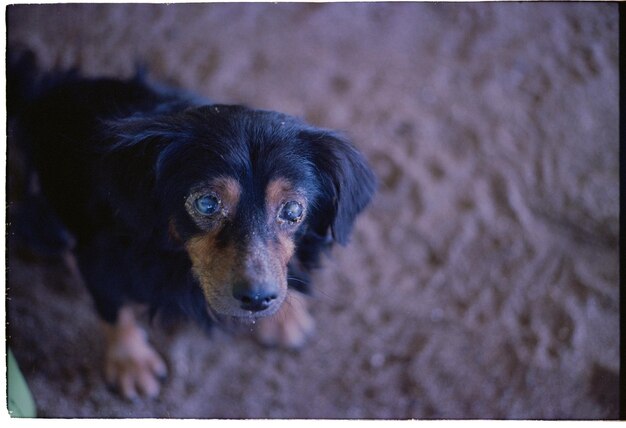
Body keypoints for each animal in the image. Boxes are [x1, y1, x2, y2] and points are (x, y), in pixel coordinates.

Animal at [7, 51, 372, 402]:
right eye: (206, 203)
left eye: (293, 209)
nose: (257, 299)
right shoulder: (100, 257)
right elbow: (113, 307)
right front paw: (130, 362)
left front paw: (286, 315)